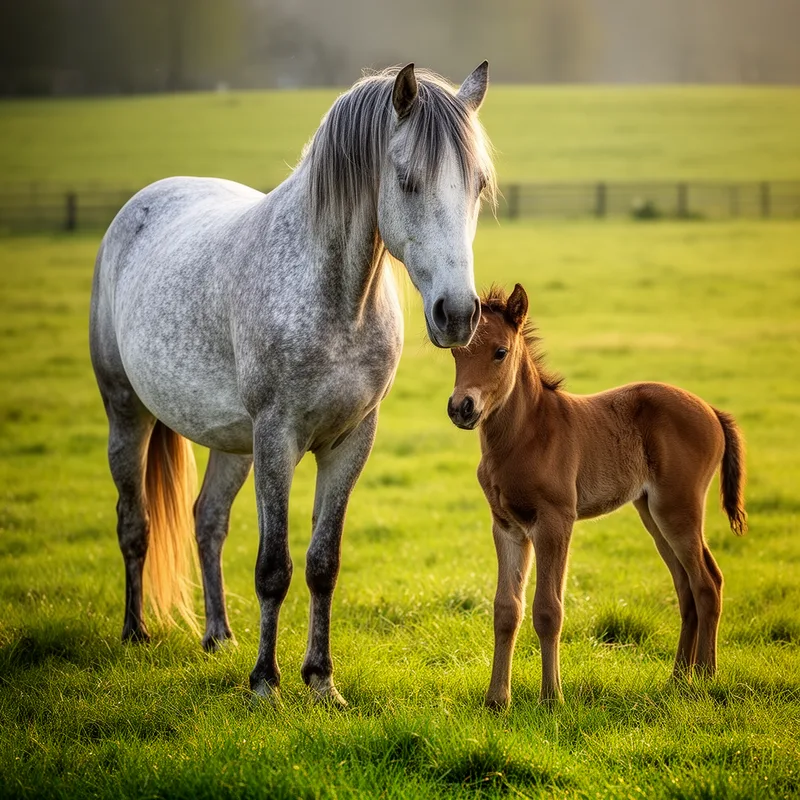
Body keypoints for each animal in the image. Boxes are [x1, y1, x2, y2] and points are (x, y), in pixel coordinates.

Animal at [89, 63, 497, 704]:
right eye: (406, 180)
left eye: (478, 185)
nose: (457, 314)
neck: (337, 303)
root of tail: (142, 203)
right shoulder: (277, 438)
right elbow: (273, 567)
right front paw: (265, 681)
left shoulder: (351, 441)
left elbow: (322, 563)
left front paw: (321, 680)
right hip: (127, 414)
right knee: (135, 524)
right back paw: (136, 633)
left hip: (234, 444)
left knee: (207, 520)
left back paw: (218, 636)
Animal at [447, 284, 747, 706]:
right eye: (457, 353)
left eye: (500, 351)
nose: (462, 407)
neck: (526, 434)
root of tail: (713, 411)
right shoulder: (507, 526)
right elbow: (506, 609)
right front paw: (496, 701)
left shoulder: (556, 521)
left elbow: (548, 610)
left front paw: (551, 698)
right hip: (652, 513)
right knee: (686, 587)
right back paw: (677, 679)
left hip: (679, 509)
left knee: (707, 583)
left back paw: (705, 677)